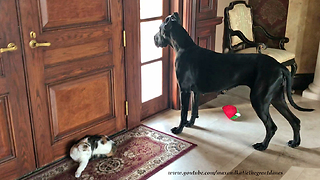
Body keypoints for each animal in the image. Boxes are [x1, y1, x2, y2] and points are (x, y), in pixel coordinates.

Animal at [154, 12, 314, 150]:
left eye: (159, 29)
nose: (154, 38)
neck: (184, 47)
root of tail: (280, 66)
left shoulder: (185, 90)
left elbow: (182, 113)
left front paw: (179, 129)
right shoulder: (195, 91)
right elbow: (193, 110)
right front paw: (190, 124)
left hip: (259, 99)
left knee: (271, 126)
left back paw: (262, 146)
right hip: (276, 98)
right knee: (295, 120)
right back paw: (295, 142)